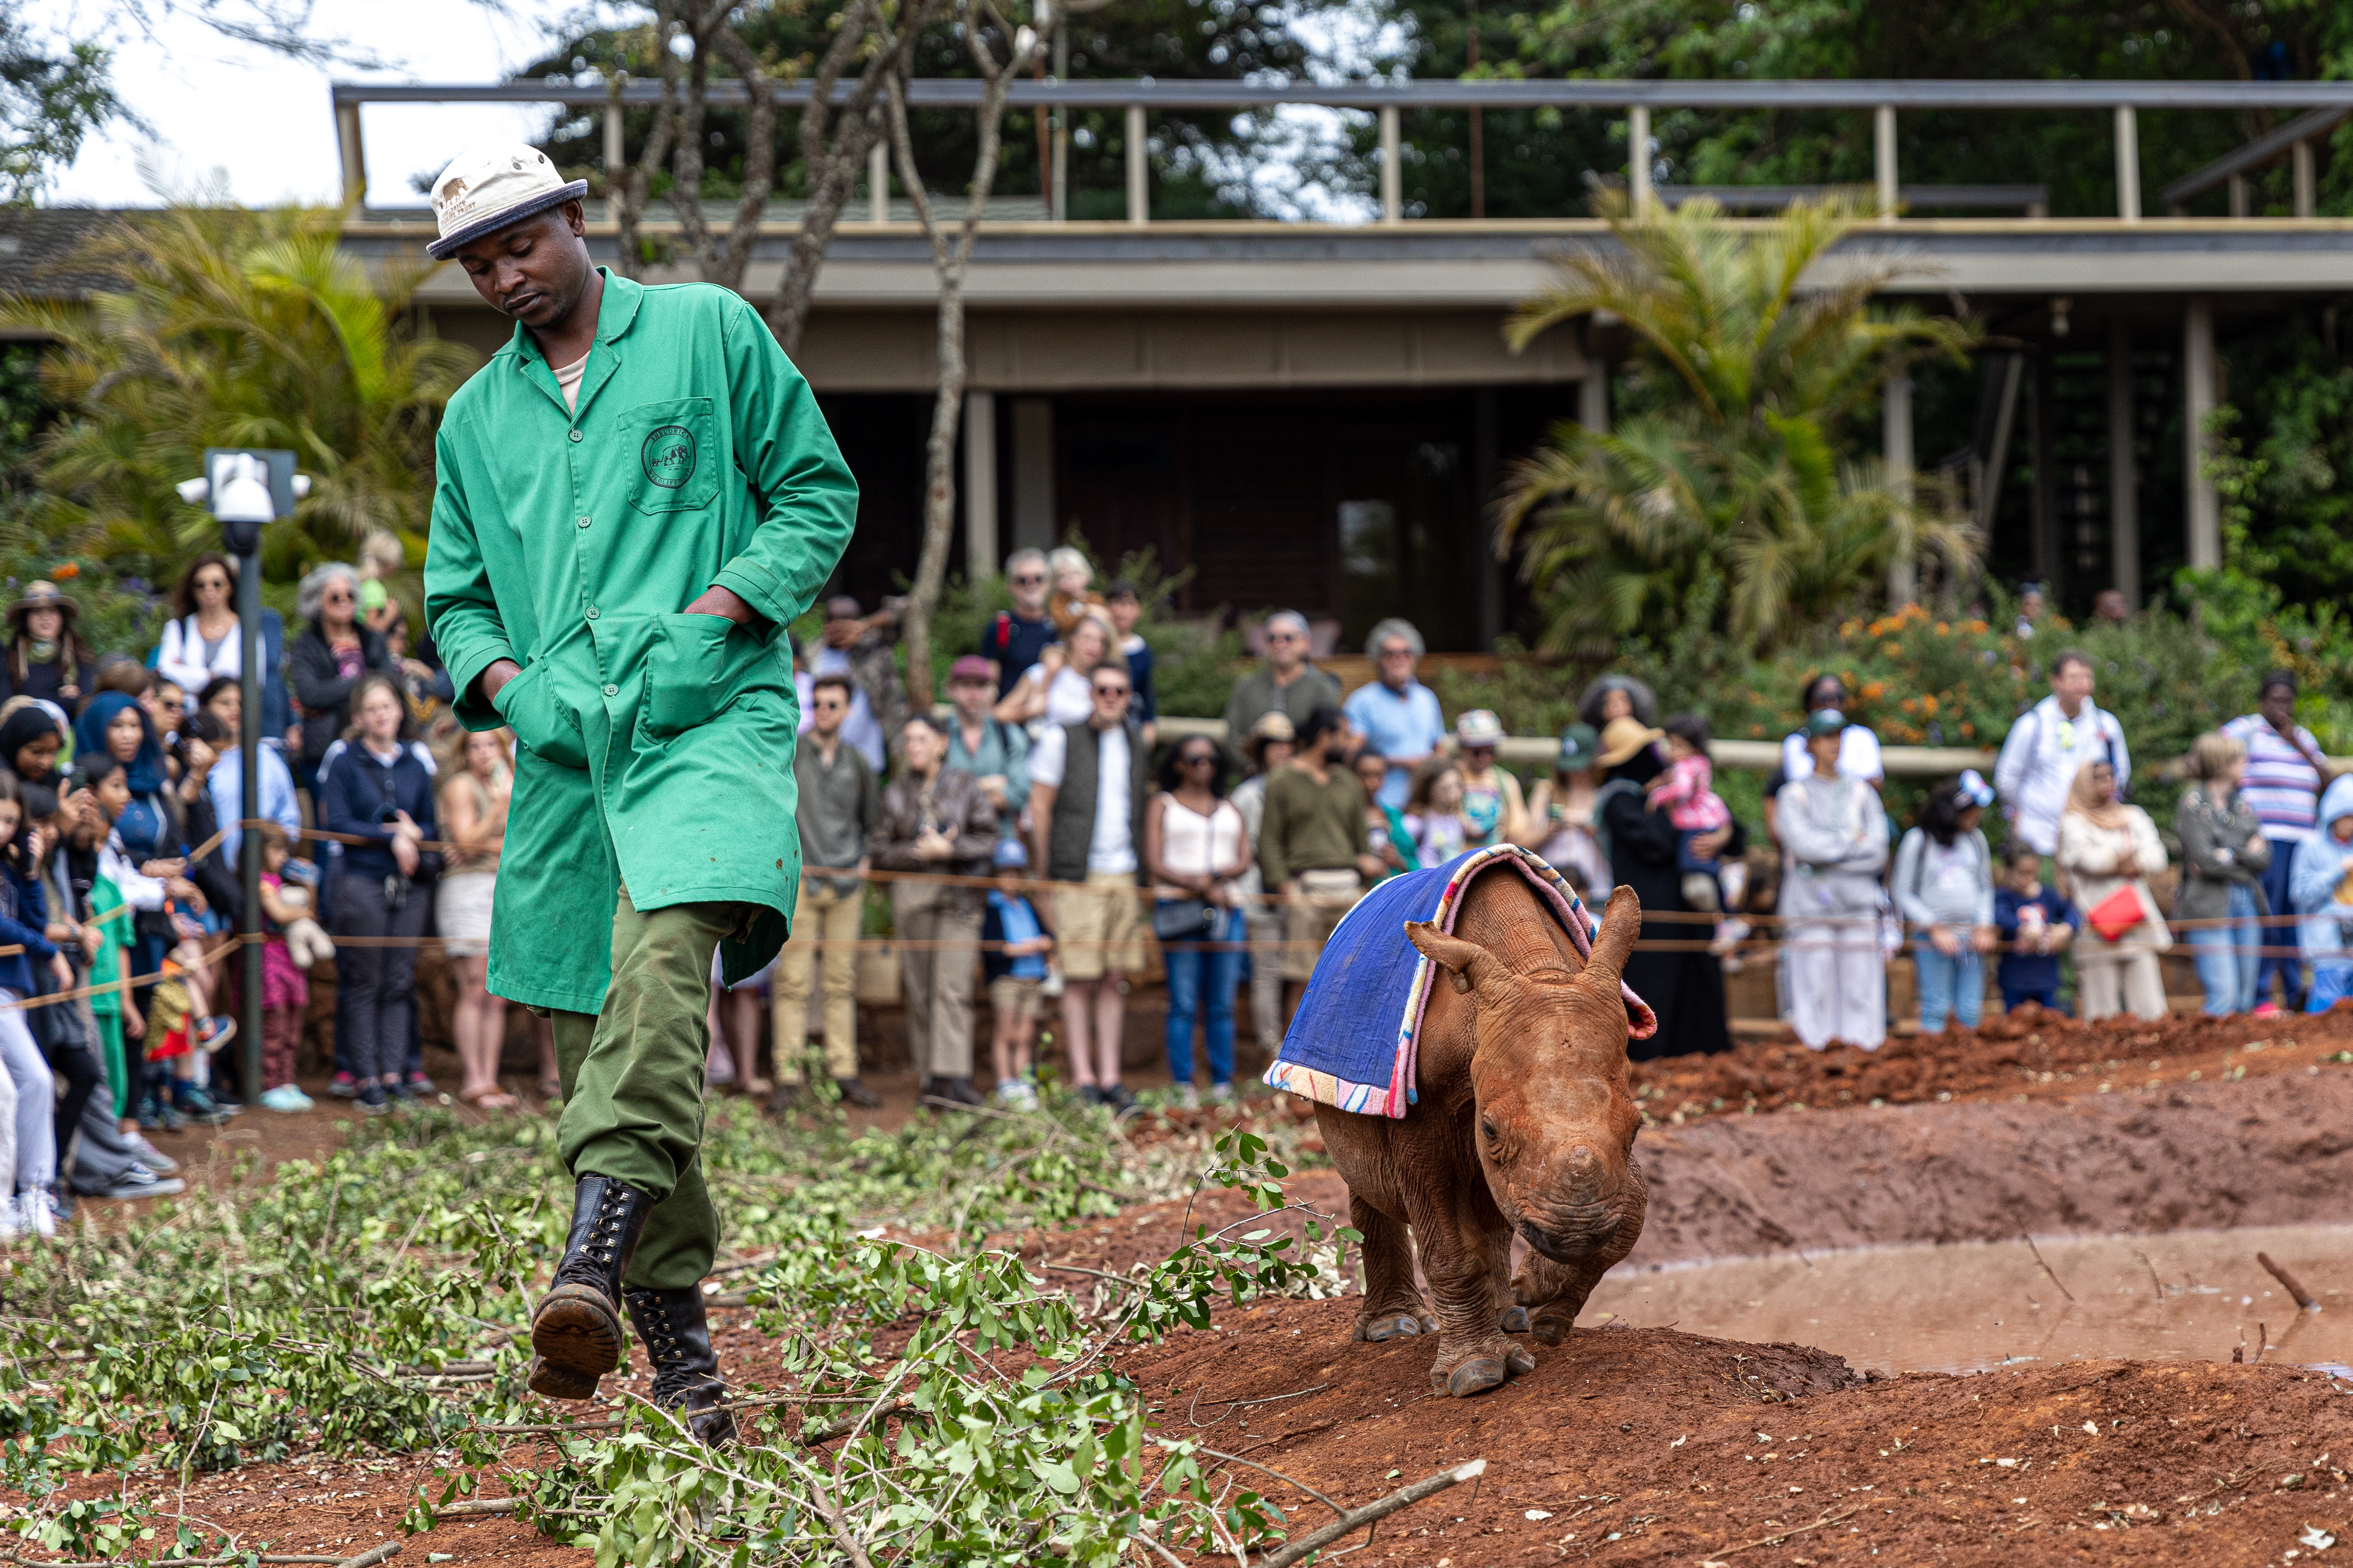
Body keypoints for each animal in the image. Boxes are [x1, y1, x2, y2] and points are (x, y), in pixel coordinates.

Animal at [1317, 883, 1647, 1401]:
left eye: (1637, 1127)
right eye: (1490, 1130)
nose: (1575, 1233)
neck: (1539, 973)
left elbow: (1632, 1207)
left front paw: (1543, 1305)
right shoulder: (1420, 1116)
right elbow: (1450, 1243)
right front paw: (1476, 1374)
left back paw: (1510, 1315)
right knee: (1367, 1178)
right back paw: (1394, 1328)